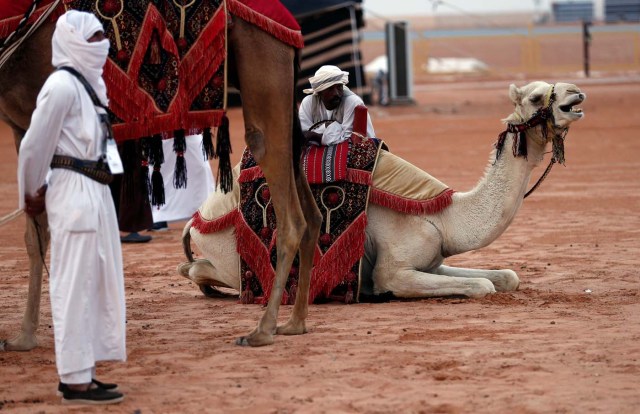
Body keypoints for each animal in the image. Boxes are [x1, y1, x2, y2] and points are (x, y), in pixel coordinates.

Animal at [178, 80, 588, 300]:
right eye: (535, 97)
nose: (577, 94)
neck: (442, 216)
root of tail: (196, 221)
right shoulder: (395, 268)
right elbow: (482, 286)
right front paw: (376, 292)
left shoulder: (433, 260)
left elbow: (505, 277)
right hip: (233, 251)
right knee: (201, 269)